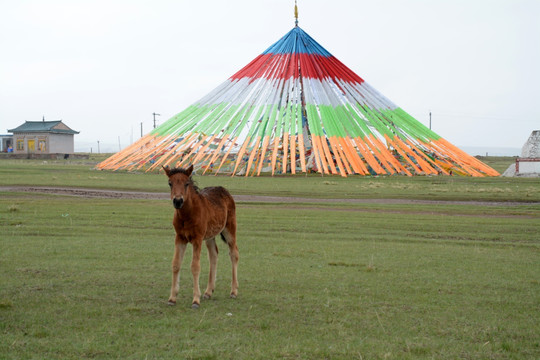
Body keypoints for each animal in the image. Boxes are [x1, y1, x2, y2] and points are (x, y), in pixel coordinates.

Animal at [165, 165, 238, 308]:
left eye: (186, 183)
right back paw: (208, 292)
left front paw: (195, 300)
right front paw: (172, 298)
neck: (187, 215)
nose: (177, 201)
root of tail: (224, 190)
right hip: (210, 236)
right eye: (170, 183)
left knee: (234, 254)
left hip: (229, 228)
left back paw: (233, 291)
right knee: (214, 255)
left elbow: (195, 266)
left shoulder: (197, 239)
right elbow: (176, 264)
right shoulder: (180, 238)